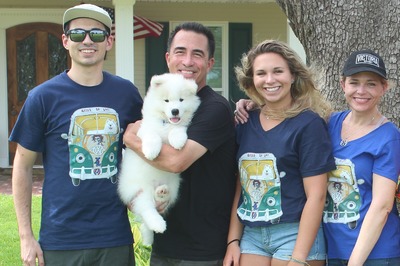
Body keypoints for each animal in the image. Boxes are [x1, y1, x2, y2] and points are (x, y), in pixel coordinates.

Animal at [118, 72, 200, 245]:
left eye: (181, 100)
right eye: (166, 100)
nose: (175, 111)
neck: (165, 123)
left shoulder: (180, 126)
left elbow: (178, 129)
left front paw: (178, 140)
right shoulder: (145, 130)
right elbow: (152, 135)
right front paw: (151, 151)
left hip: (174, 185)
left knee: (159, 200)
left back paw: (162, 192)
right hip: (140, 190)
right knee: (147, 209)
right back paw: (158, 224)